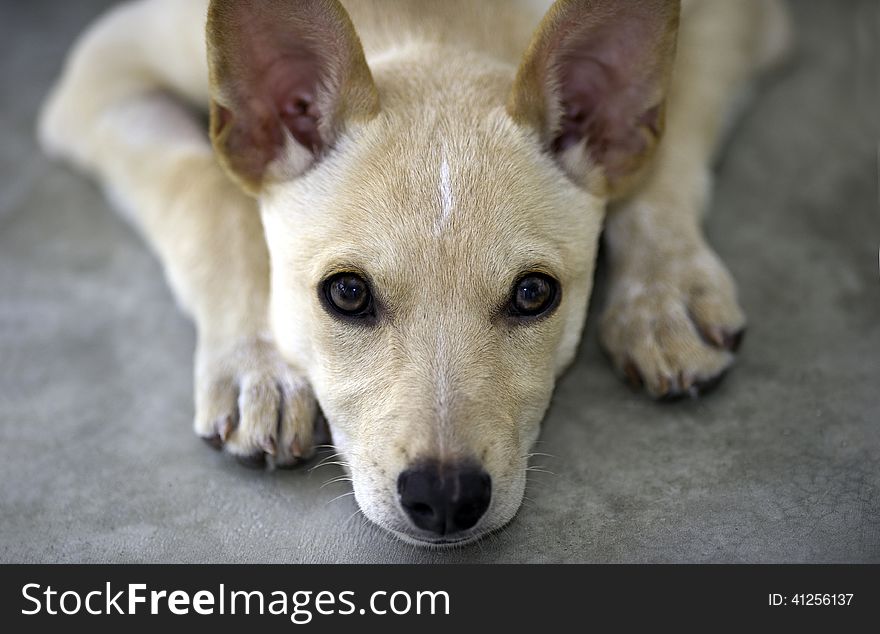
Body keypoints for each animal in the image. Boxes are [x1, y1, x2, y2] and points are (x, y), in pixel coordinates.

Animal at [37, 0, 792, 544]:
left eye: (533, 294)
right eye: (346, 293)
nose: (446, 498)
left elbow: (662, 155)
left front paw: (664, 294)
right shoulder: (104, 66)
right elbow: (210, 194)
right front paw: (259, 362)